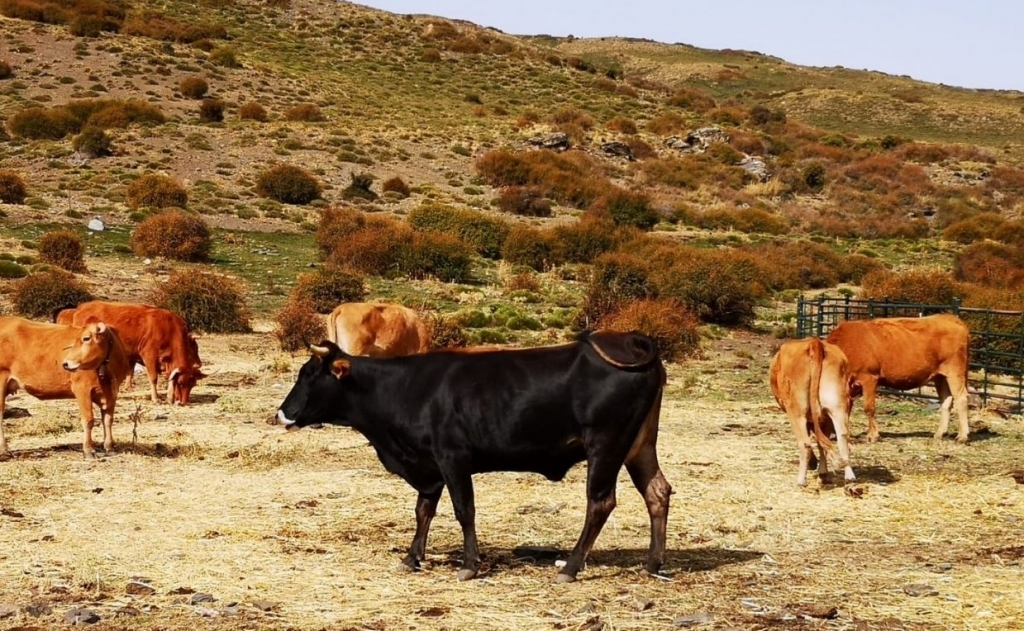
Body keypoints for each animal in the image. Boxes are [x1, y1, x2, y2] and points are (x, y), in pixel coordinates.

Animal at [0, 315, 132, 458]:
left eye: (86, 338)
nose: (66, 364)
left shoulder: (112, 393)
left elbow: (108, 419)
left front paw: (109, 446)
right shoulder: (82, 390)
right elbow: (88, 420)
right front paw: (88, 450)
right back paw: (4, 449)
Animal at [57, 303, 207, 407]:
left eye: (192, 384)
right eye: (181, 383)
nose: (184, 402)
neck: (168, 329)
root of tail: (79, 308)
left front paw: (170, 397)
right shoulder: (149, 355)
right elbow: (153, 378)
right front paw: (156, 398)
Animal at [276, 331, 671, 585]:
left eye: (309, 375)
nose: (281, 414)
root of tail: (630, 341)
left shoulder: (453, 458)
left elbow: (463, 510)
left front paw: (469, 565)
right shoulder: (429, 466)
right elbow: (423, 511)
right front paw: (412, 557)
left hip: (606, 446)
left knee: (601, 502)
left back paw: (570, 567)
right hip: (639, 445)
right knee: (657, 492)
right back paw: (653, 563)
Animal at [770, 338, 856, 485]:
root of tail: (814, 342)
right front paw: (823, 472)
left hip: (797, 411)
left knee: (805, 443)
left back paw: (801, 480)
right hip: (837, 408)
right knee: (842, 437)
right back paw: (849, 476)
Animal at [827, 313, 970, 444]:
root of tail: (948, 317)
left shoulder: (869, 378)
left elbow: (869, 407)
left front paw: (873, 435)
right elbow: (846, 410)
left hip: (955, 372)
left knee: (961, 398)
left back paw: (962, 436)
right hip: (940, 377)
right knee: (946, 401)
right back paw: (940, 433)